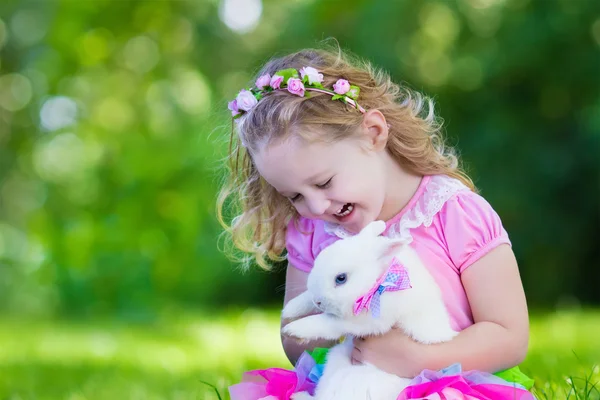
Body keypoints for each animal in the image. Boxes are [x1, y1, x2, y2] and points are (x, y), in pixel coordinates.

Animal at [280, 220, 454, 398]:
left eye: (341, 278)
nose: (318, 301)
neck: (379, 281)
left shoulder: (364, 321)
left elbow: (328, 322)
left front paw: (294, 330)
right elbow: (306, 298)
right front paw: (289, 310)